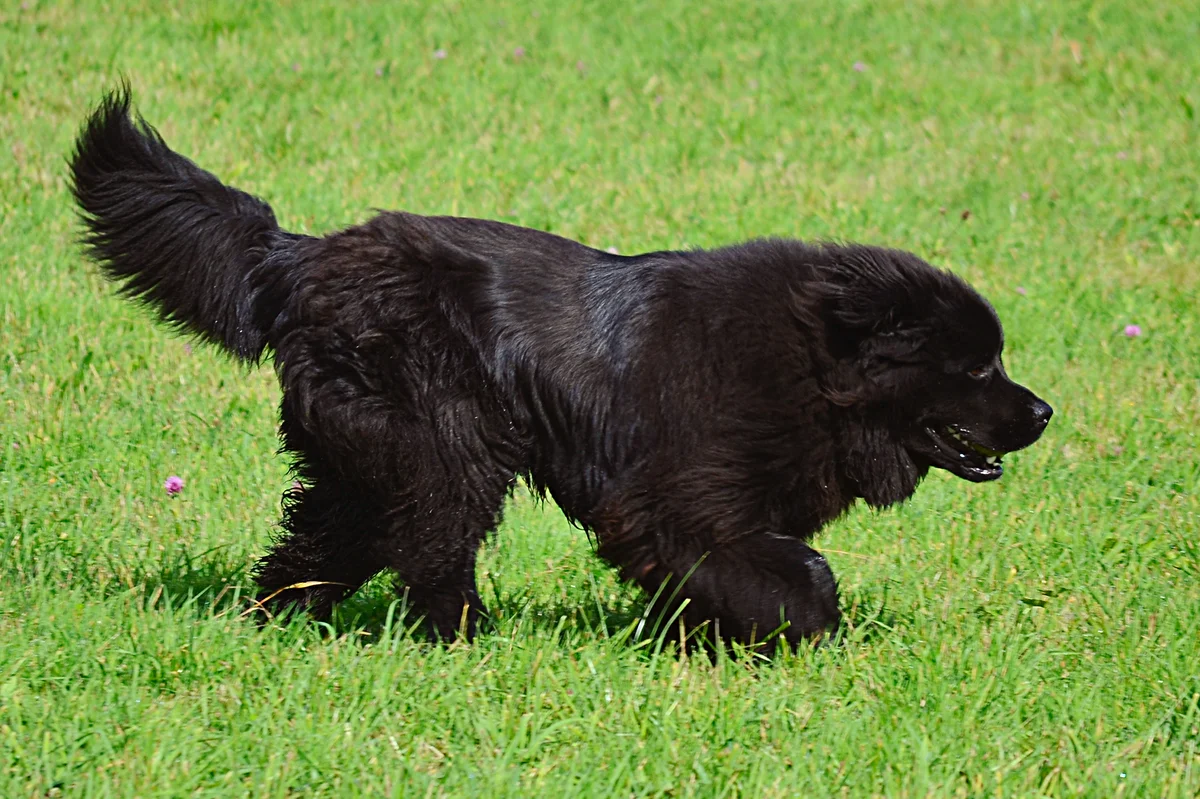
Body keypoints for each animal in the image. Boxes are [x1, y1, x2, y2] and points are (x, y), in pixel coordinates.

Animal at [70, 89, 1056, 643]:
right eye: (976, 369)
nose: (1045, 412)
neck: (816, 364)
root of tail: (299, 257)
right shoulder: (673, 502)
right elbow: (801, 575)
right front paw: (797, 633)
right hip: (450, 444)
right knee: (429, 548)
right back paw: (462, 640)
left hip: (372, 454)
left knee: (323, 542)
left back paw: (277, 621)